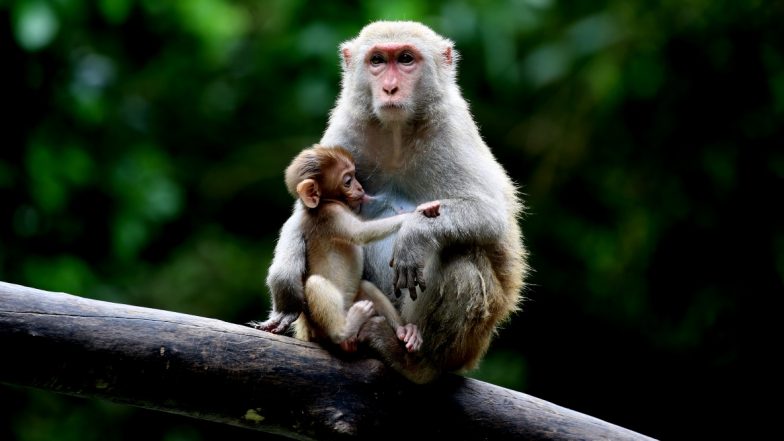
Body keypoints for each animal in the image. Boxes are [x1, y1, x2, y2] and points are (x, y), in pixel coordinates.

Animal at [283, 145, 440, 353]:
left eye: (355, 175)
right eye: (348, 181)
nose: (360, 188)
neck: (323, 204)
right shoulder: (333, 214)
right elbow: (362, 233)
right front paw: (416, 213)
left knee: (366, 287)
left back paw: (403, 331)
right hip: (319, 327)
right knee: (316, 284)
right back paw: (344, 331)